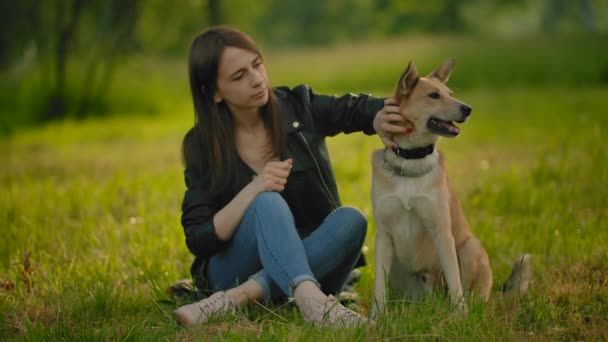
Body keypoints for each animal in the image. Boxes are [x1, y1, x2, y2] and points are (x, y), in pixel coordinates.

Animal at [368, 57, 528, 316]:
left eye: (450, 94)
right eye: (434, 95)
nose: (468, 109)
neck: (411, 161)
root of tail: (429, 299)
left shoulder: (442, 232)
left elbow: (454, 281)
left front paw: (461, 316)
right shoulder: (383, 236)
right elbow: (378, 287)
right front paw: (377, 317)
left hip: (471, 247)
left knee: (472, 291)